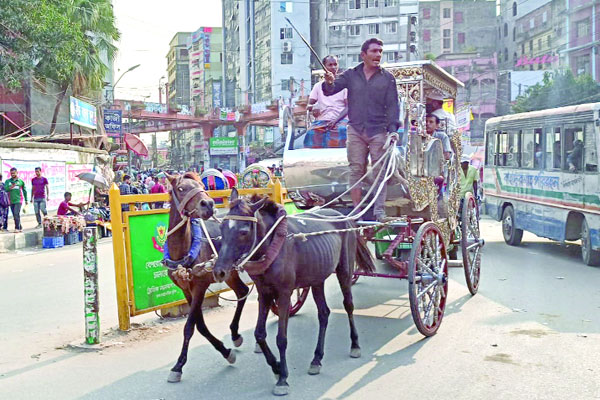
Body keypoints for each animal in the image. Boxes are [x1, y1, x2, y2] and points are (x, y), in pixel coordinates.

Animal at [163, 173, 250, 384]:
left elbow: (189, 326)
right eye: (181, 189)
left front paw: (178, 366)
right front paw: (226, 351)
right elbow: (200, 325)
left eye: (201, 186)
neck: (183, 251)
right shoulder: (186, 289)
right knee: (242, 291)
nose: (209, 204)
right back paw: (235, 334)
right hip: (229, 273)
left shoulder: (200, 286)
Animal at [212, 189, 376, 396]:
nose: (219, 271)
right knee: (323, 313)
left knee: (348, 305)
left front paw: (283, 378)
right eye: (222, 227)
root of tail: (344, 217)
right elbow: (259, 334)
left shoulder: (284, 293)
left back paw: (354, 344)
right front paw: (276, 366)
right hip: (317, 276)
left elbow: (281, 338)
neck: (272, 245)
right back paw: (316, 359)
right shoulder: (264, 292)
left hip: (344, 271)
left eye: (243, 232)